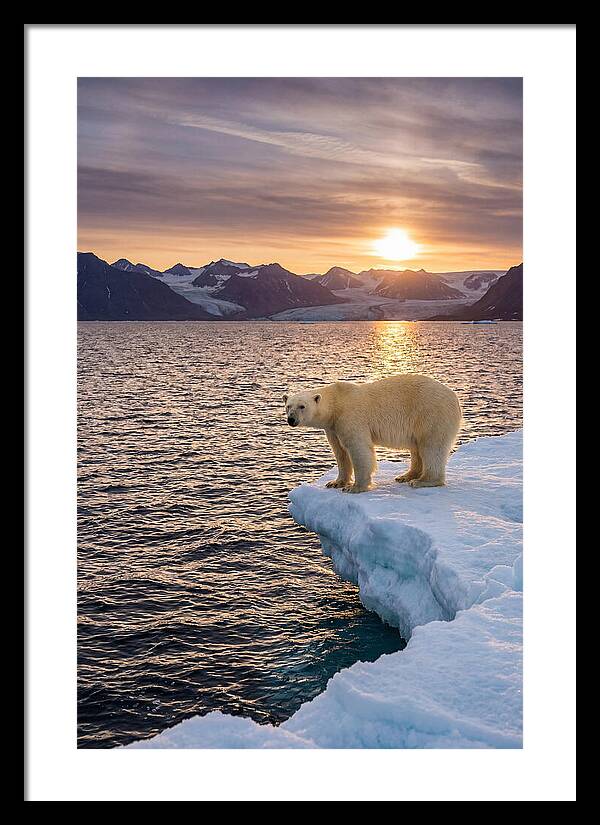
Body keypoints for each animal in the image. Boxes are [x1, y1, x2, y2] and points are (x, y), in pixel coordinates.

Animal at [283, 374, 461, 493]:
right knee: (417, 448)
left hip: (431, 414)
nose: (291, 419)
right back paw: (406, 476)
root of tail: (455, 397)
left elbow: (358, 449)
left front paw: (355, 487)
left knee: (431, 447)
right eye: (288, 406)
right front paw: (335, 482)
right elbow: (340, 452)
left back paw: (422, 481)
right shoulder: (333, 427)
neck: (336, 403)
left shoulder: (351, 417)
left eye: (302, 406)